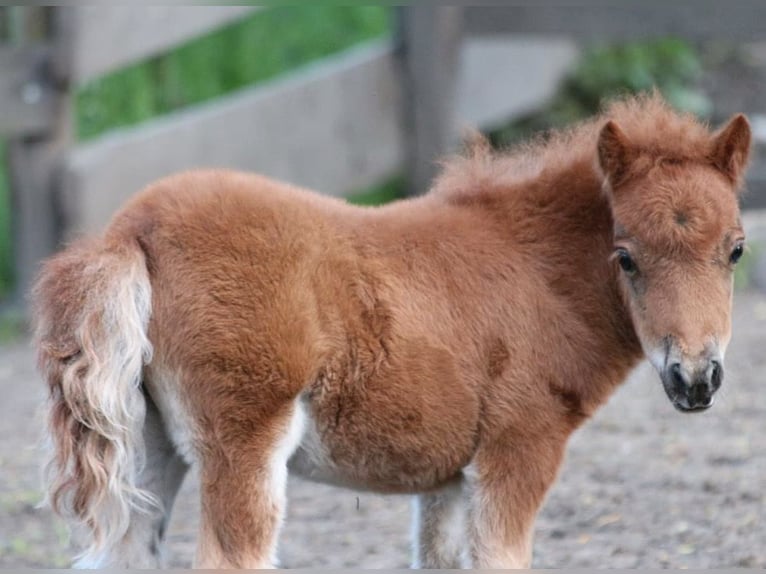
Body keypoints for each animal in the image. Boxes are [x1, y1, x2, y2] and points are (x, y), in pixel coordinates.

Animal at [33, 95, 752, 572]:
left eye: (736, 250)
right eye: (625, 256)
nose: (695, 378)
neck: (537, 271)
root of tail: (133, 229)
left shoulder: (448, 481)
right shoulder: (519, 451)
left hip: (151, 445)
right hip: (241, 443)